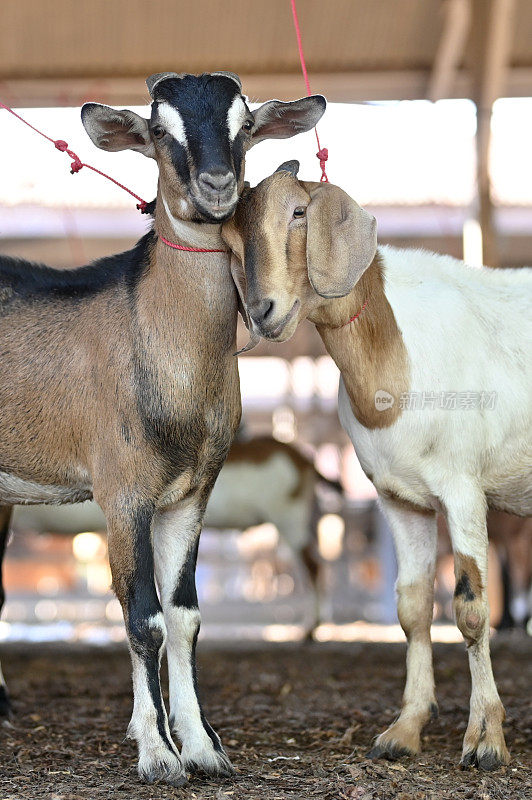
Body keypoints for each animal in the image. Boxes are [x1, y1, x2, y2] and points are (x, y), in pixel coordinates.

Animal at [222, 161, 528, 768]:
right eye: (232, 238)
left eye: (299, 212)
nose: (263, 313)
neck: (396, 356)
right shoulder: (400, 498)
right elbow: (412, 607)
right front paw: (404, 730)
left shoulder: (463, 489)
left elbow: (471, 607)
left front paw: (485, 739)